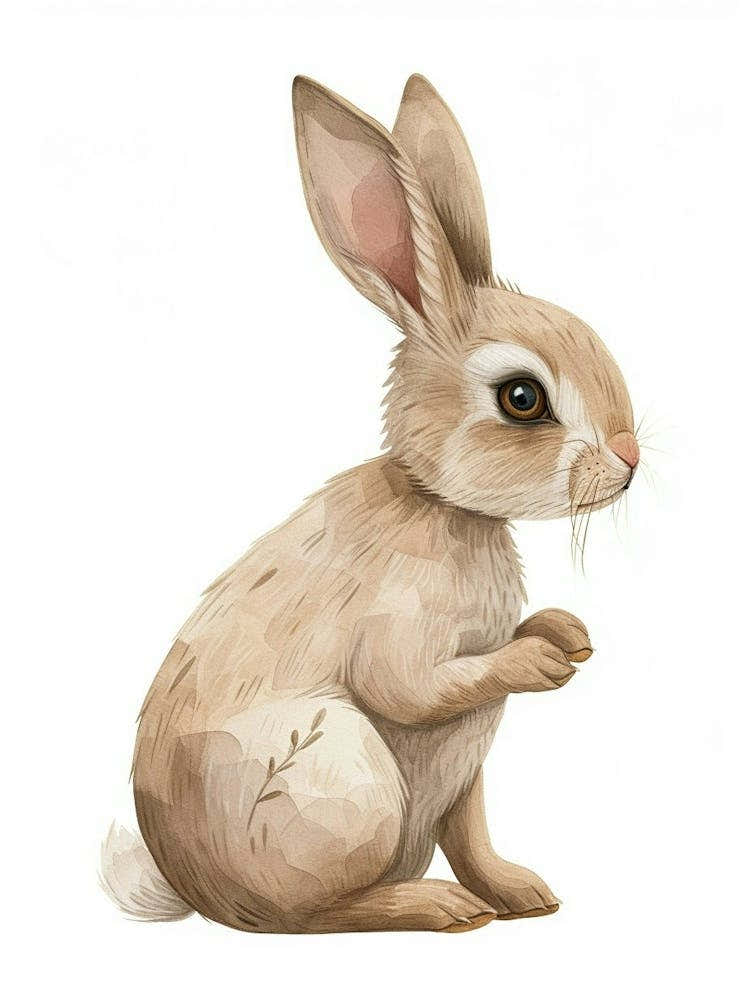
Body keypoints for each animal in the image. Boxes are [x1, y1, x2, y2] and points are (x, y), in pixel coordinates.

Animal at [101, 74, 639, 934]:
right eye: (522, 399)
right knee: (317, 915)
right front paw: (539, 661)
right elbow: (410, 689)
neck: (442, 503)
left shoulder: (470, 771)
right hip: (338, 771)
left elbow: (472, 832)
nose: (629, 460)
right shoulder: (399, 638)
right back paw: (434, 906)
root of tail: (196, 892)